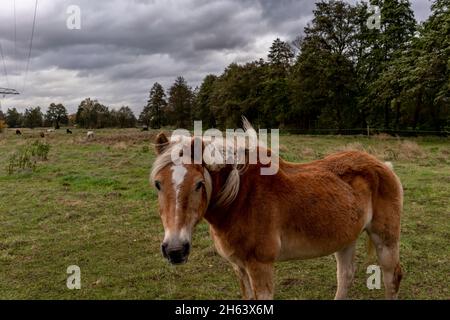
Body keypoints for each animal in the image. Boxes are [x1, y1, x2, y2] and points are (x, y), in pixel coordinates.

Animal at [151, 122, 404, 300]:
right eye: (157, 184)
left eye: (199, 184)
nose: (175, 250)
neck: (239, 199)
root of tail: (384, 166)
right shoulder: (239, 267)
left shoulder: (260, 266)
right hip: (345, 238)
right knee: (346, 276)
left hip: (385, 239)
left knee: (392, 277)